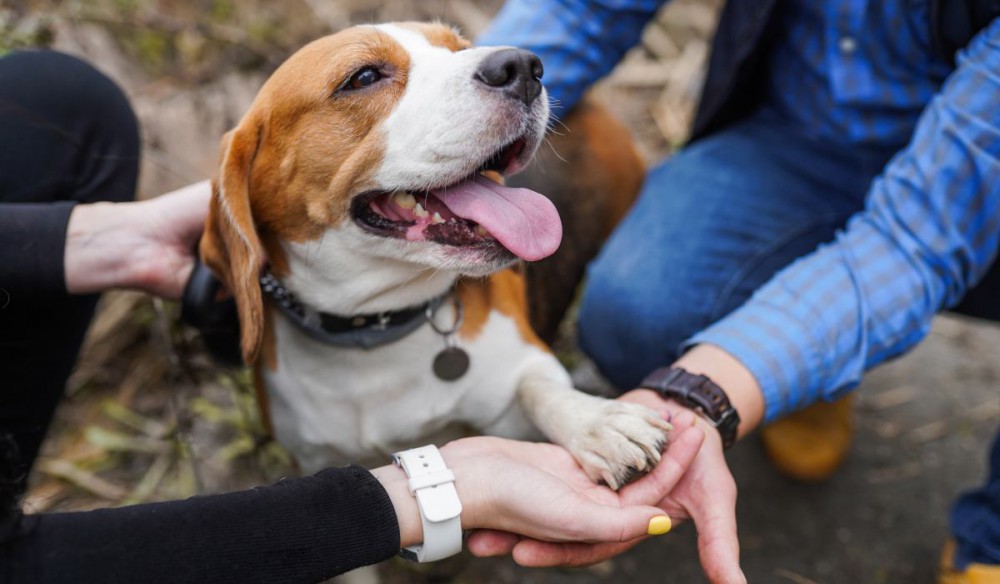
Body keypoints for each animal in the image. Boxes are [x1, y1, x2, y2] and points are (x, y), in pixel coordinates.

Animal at [201, 21, 672, 488]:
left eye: (458, 48)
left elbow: (537, 388)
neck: (373, 331)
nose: (524, 67)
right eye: (363, 77)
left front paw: (598, 422)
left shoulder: (521, 371)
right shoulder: (311, 456)